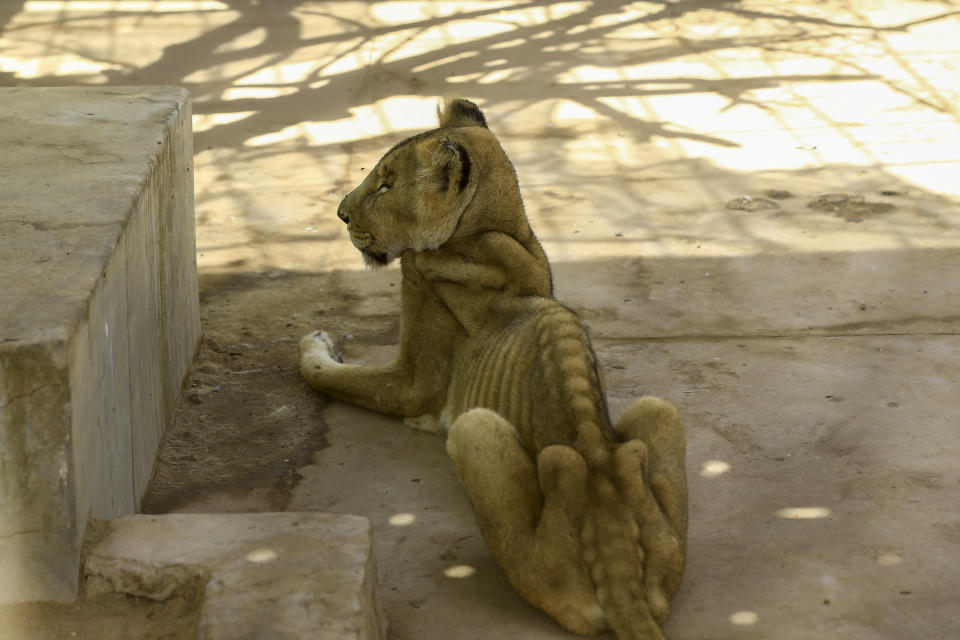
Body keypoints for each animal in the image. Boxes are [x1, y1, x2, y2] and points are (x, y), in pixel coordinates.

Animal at [300, 97, 684, 636]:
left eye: (386, 185)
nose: (340, 214)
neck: (495, 231)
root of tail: (618, 563)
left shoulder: (412, 375)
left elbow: (332, 375)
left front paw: (314, 343)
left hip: (474, 430)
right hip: (660, 417)